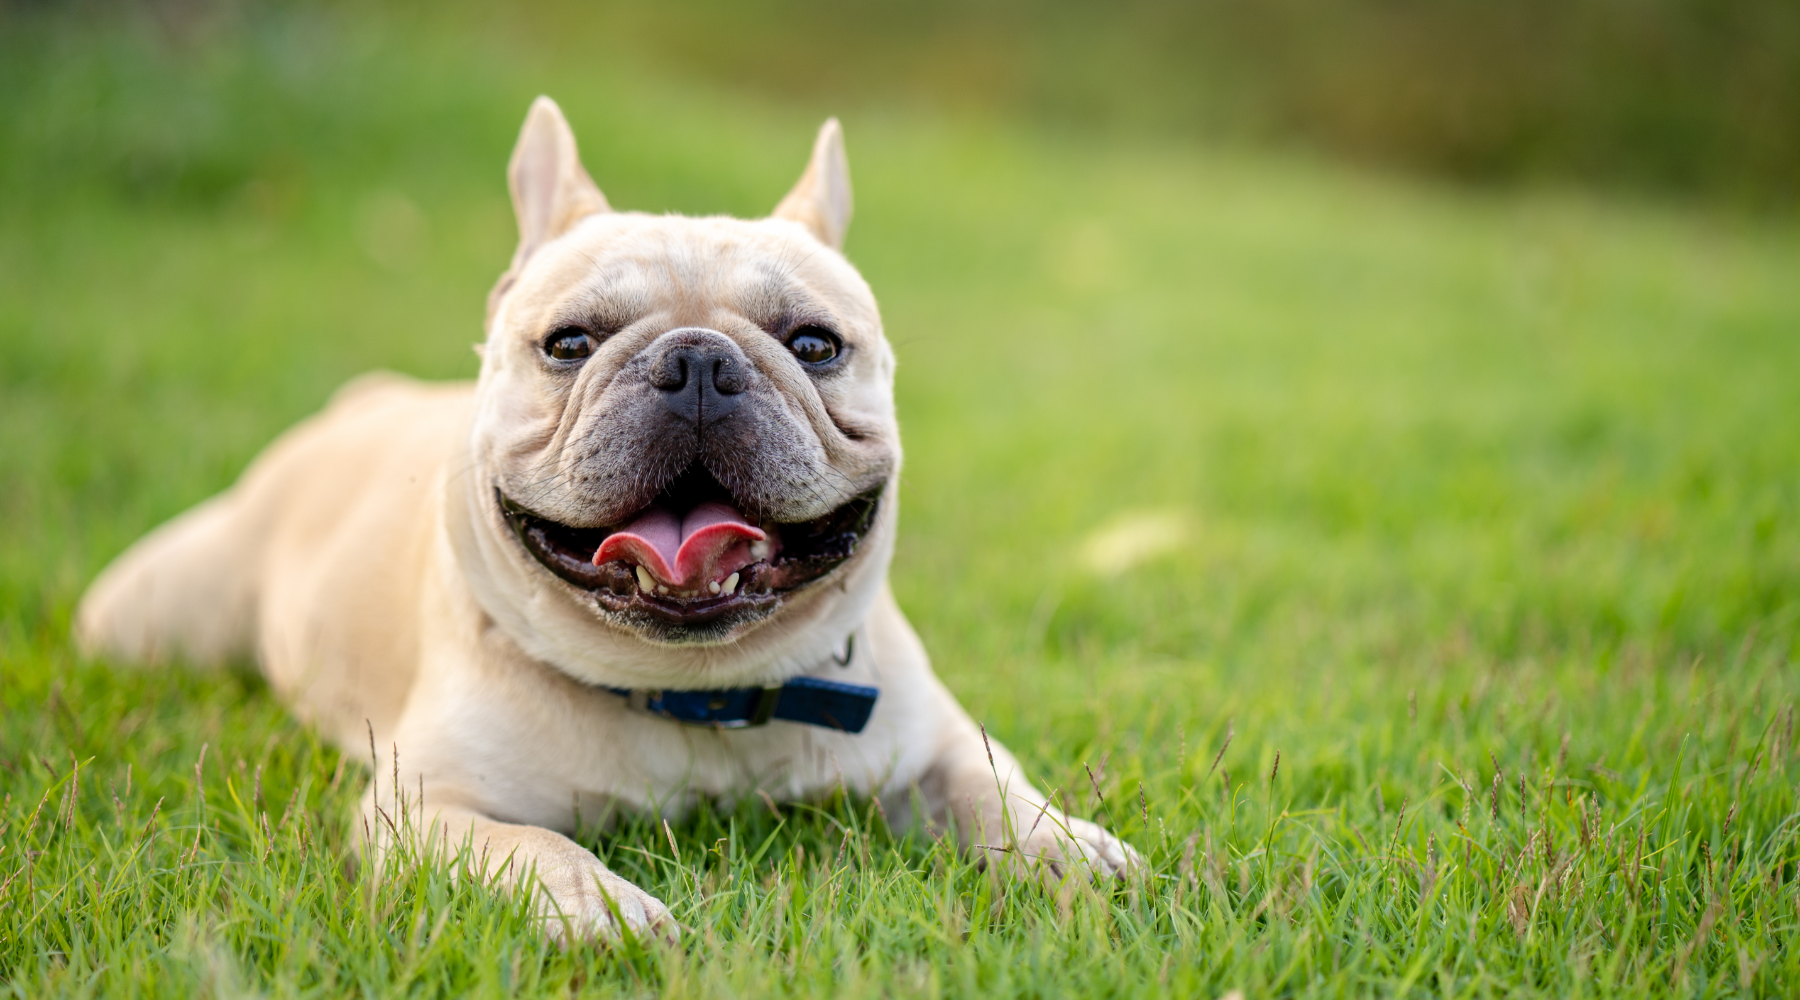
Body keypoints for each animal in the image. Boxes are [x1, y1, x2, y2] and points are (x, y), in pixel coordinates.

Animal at [81, 97, 1137, 942]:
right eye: (569, 343)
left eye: (814, 345)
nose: (699, 361)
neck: (694, 697)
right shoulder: (426, 810)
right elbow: (528, 847)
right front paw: (601, 907)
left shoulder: (931, 743)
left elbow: (993, 786)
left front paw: (1070, 847)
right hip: (149, 618)